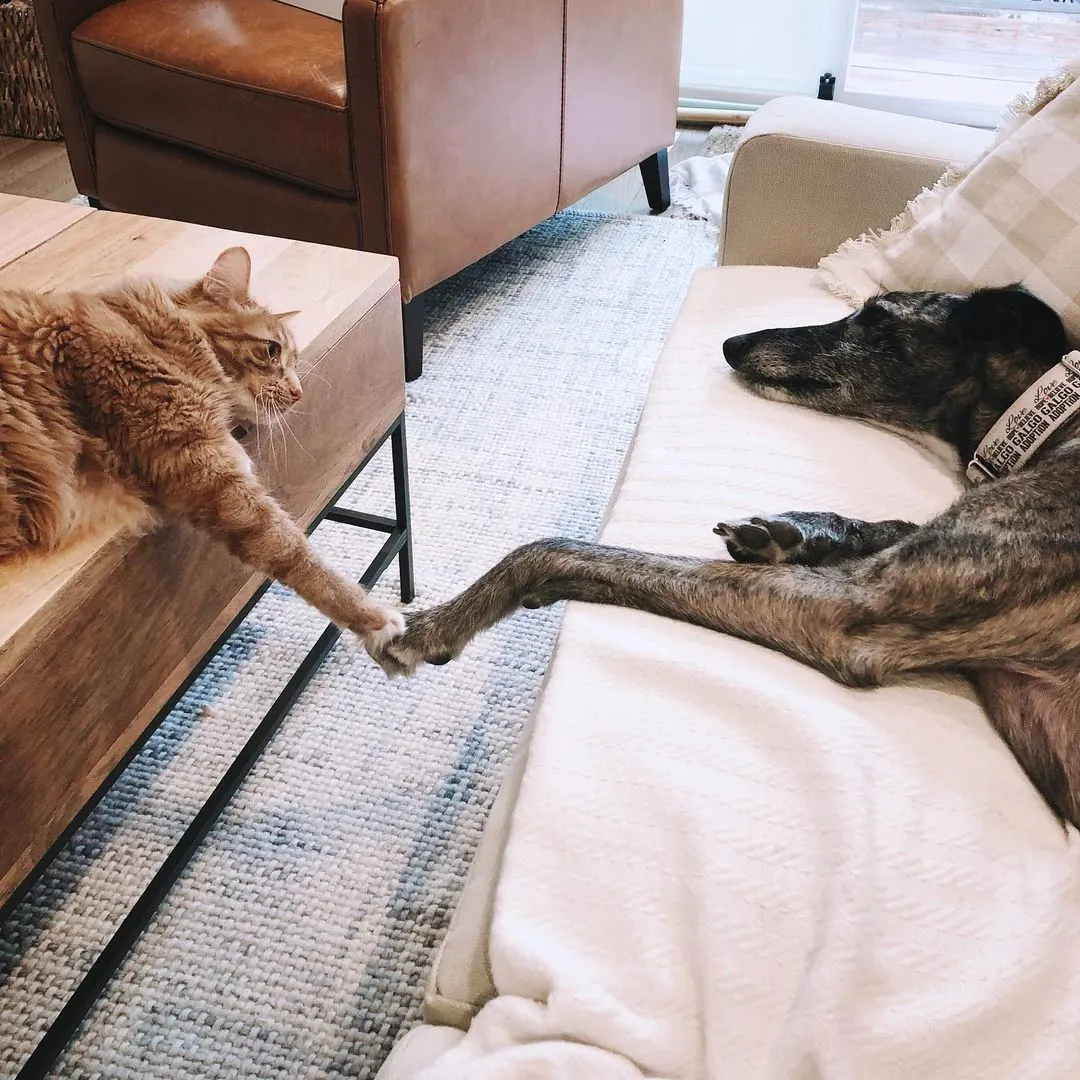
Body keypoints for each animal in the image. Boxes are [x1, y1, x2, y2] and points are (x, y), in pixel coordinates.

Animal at [0, 246, 406, 648]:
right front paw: (372, 619)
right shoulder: (206, 469)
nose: (297, 392)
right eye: (271, 350)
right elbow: (294, 552)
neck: (150, 334)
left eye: (294, 361)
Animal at [369, 285, 1080, 825]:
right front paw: (794, 532)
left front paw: (437, 623)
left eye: (877, 317)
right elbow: (891, 523)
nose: (732, 344)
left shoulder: (855, 610)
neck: (1050, 416)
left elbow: (554, 549)